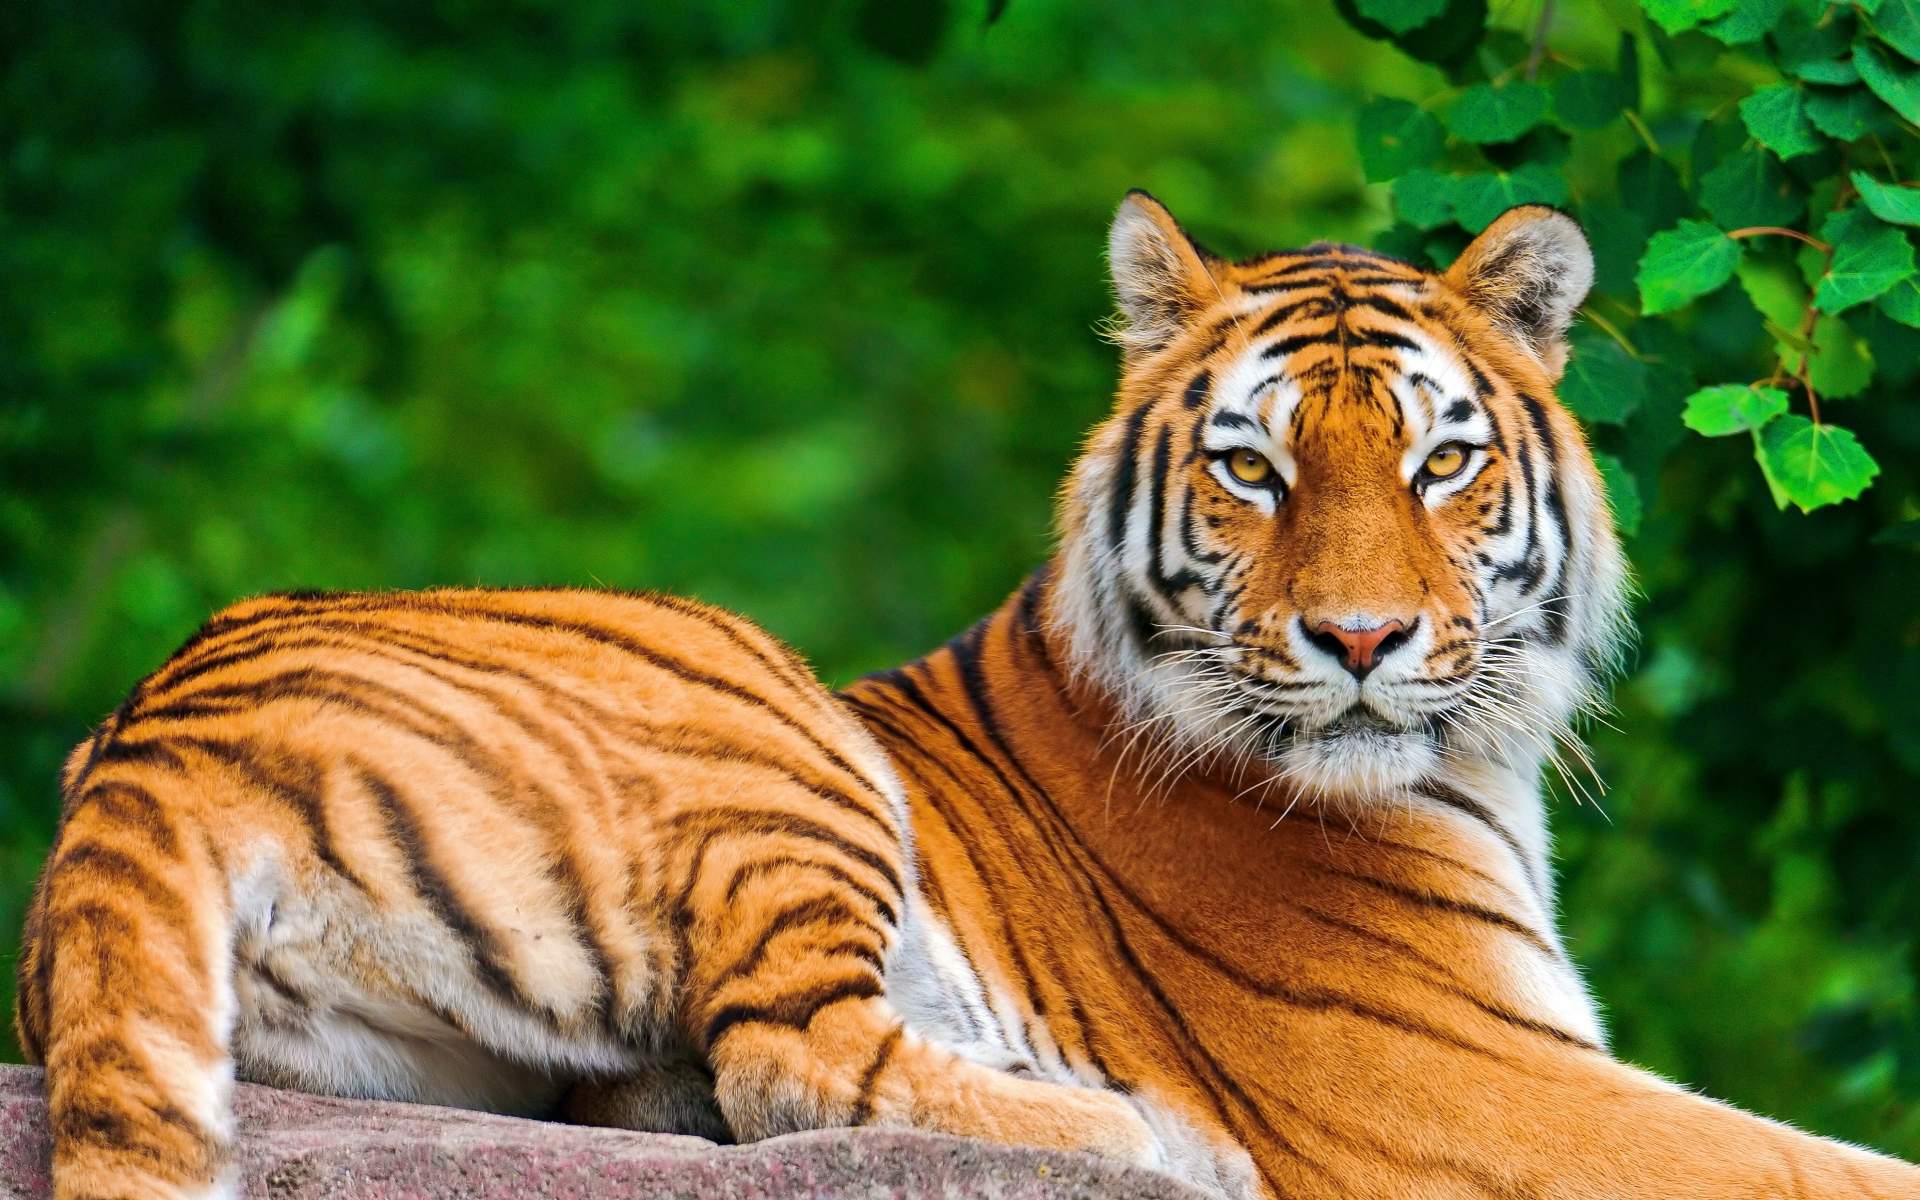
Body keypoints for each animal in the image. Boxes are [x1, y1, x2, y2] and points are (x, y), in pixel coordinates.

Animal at [17, 196, 1920, 1200]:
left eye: (1442, 463)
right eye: (1252, 468)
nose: (1363, 642)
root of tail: (147, 735)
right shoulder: (1470, 1084)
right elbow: (1826, 1165)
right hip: (768, 720)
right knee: (790, 1060)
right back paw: (1143, 1136)